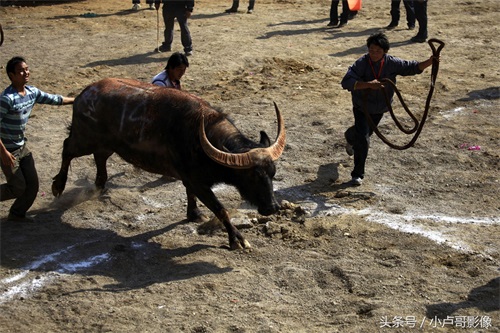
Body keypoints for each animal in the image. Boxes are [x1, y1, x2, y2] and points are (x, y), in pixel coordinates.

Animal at [51, 78, 286, 249]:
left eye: (272, 173)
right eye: (251, 177)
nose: (272, 207)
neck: (201, 137)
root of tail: (84, 93)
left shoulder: (190, 179)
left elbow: (191, 195)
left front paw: (194, 214)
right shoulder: (199, 183)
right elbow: (220, 209)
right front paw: (237, 239)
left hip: (105, 145)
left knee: (99, 158)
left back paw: (99, 186)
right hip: (84, 139)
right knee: (67, 148)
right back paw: (58, 186)